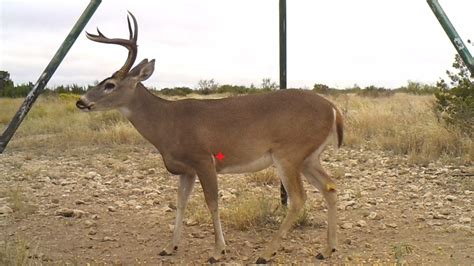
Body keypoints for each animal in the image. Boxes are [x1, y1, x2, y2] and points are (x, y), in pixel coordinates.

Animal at [78, 11, 344, 262]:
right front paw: (170, 247)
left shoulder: (204, 159)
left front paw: (218, 251)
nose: (81, 101)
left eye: (110, 84)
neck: (167, 123)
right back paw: (327, 249)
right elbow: (180, 203)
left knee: (298, 198)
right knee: (329, 187)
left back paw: (267, 253)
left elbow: (212, 202)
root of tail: (333, 108)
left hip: (289, 153)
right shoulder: (186, 169)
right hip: (309, 157)